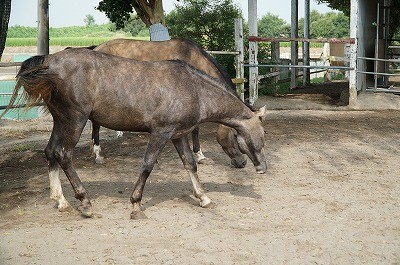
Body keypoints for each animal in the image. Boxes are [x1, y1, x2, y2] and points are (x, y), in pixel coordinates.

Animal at [92, 37, 247, 167]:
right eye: (235, 135)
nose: (242, 162)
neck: (191, 58)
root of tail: (97, 47)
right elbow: (195, 129)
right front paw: (199, 155)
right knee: (96, 124)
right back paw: (98, 154)